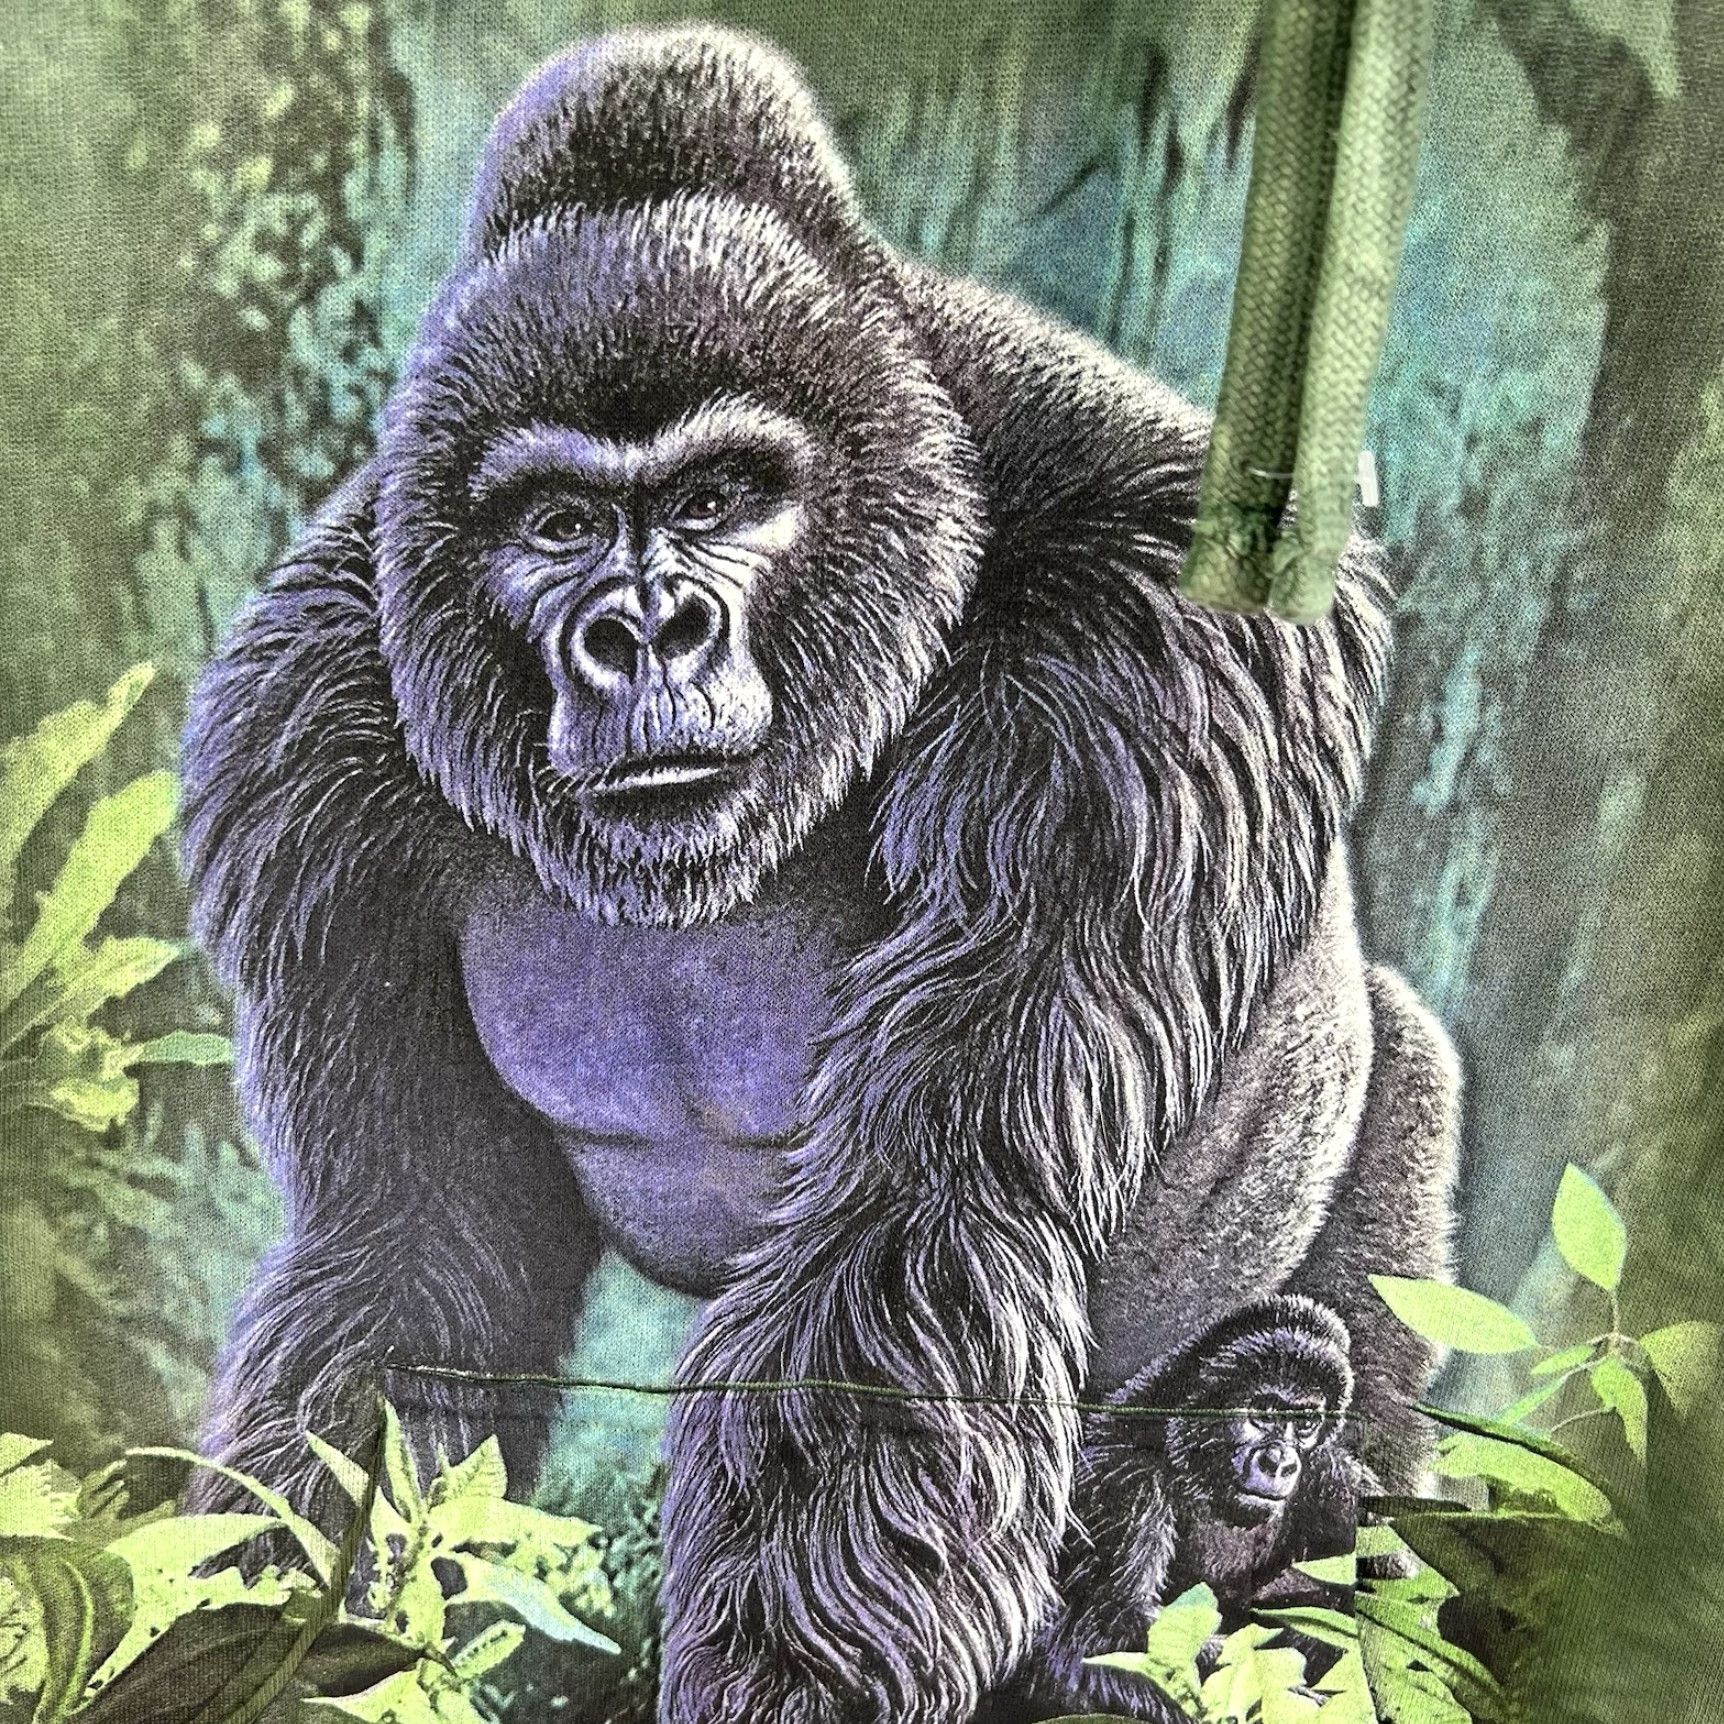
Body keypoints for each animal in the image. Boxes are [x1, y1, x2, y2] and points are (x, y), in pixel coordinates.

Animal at [987, 1298, 1367, 1722]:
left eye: (1304, 1423)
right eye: (1264, 1412)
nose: (1280, 1462)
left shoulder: (1335, 1478)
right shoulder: (1126, 1482)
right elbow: (1090, 1640)